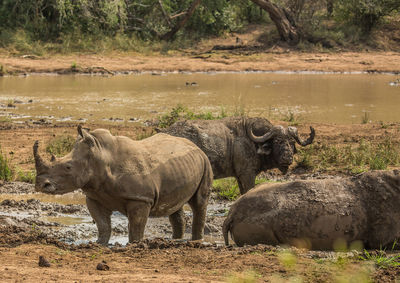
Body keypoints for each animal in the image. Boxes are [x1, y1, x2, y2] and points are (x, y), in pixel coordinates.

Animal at [34, 126, 214, 246]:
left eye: (68, 167)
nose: (40, 185)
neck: (100, 158)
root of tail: (195, 146)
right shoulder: (94, 195)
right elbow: (102, 224)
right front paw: (99, 243)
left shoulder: (140, 199)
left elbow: (136, 226)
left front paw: (134, 245)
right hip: (180, 166)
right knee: (174, 205)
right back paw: (176, 240)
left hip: (205, 162)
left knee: (199, 202)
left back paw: (197, 241)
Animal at [160, 117, 316, 195]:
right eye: (277, 141)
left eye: (291, 142)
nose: (287, 158)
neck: (254, 143)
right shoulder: (247, 174)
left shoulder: (239, 176)